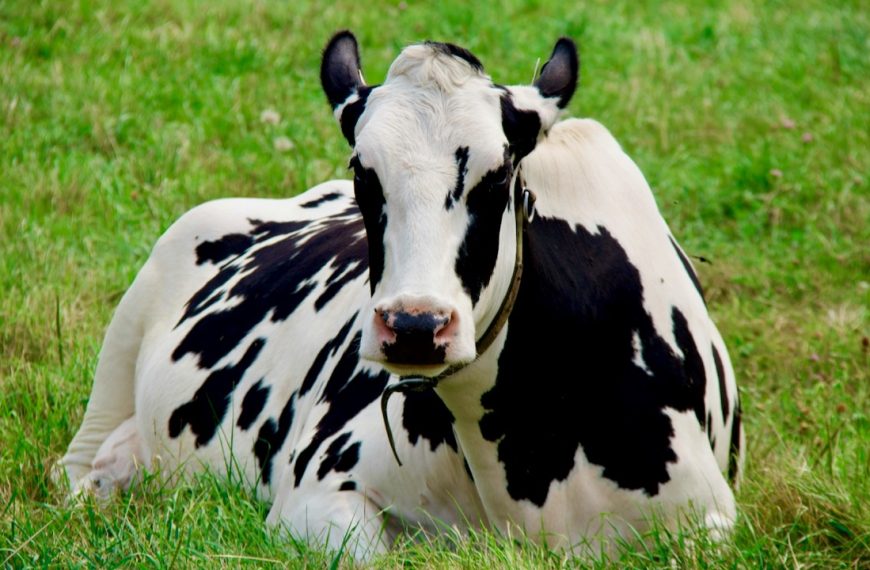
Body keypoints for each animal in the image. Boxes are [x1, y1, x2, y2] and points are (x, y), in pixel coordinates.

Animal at [62, 31, 743, 559]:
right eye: (363, 172)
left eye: (499, 174)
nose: (415, 326)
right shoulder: (314, 493)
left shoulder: (710, 522)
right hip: (122, 345)